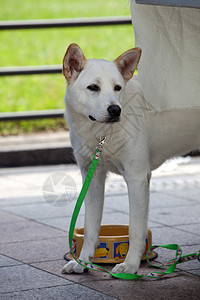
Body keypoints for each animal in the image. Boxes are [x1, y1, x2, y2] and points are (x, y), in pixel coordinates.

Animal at [62, 43, 200, 276]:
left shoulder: (137, 179)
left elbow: (136, 229)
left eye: (117, 87)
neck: (102, 134)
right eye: (93, 87)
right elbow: (91, 227)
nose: (115, 109)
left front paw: (131, 265)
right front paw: (83, 262)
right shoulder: (93, 179)